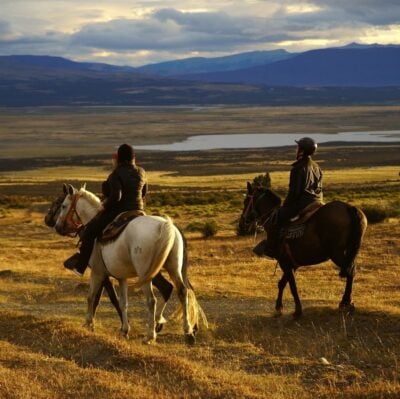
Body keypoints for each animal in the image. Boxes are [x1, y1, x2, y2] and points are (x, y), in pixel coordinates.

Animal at [54, 184, 205, 344]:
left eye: (63, 205)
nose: (57, 226)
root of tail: (165, 225)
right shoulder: (122, 277)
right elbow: (123, 302)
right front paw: (124, 330)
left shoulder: (98, 272)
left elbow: (92, 296)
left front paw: (88, 323)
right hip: (173, 268)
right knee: (182, 291)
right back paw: (186, 332)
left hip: (146, 274)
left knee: (152, 299)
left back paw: (150, 335)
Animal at [239, 184, 368, 318]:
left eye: (246, 201)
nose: (242, 223)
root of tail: (349, 208)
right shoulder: (292, 263)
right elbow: (282, 283)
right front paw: (279, 307)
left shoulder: (285, 262)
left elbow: (292, 285)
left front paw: (297, 310)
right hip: (349, 252)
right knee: (351, 271)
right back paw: (348, 302)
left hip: (336, 254)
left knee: (349, 272)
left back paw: (345, 303)